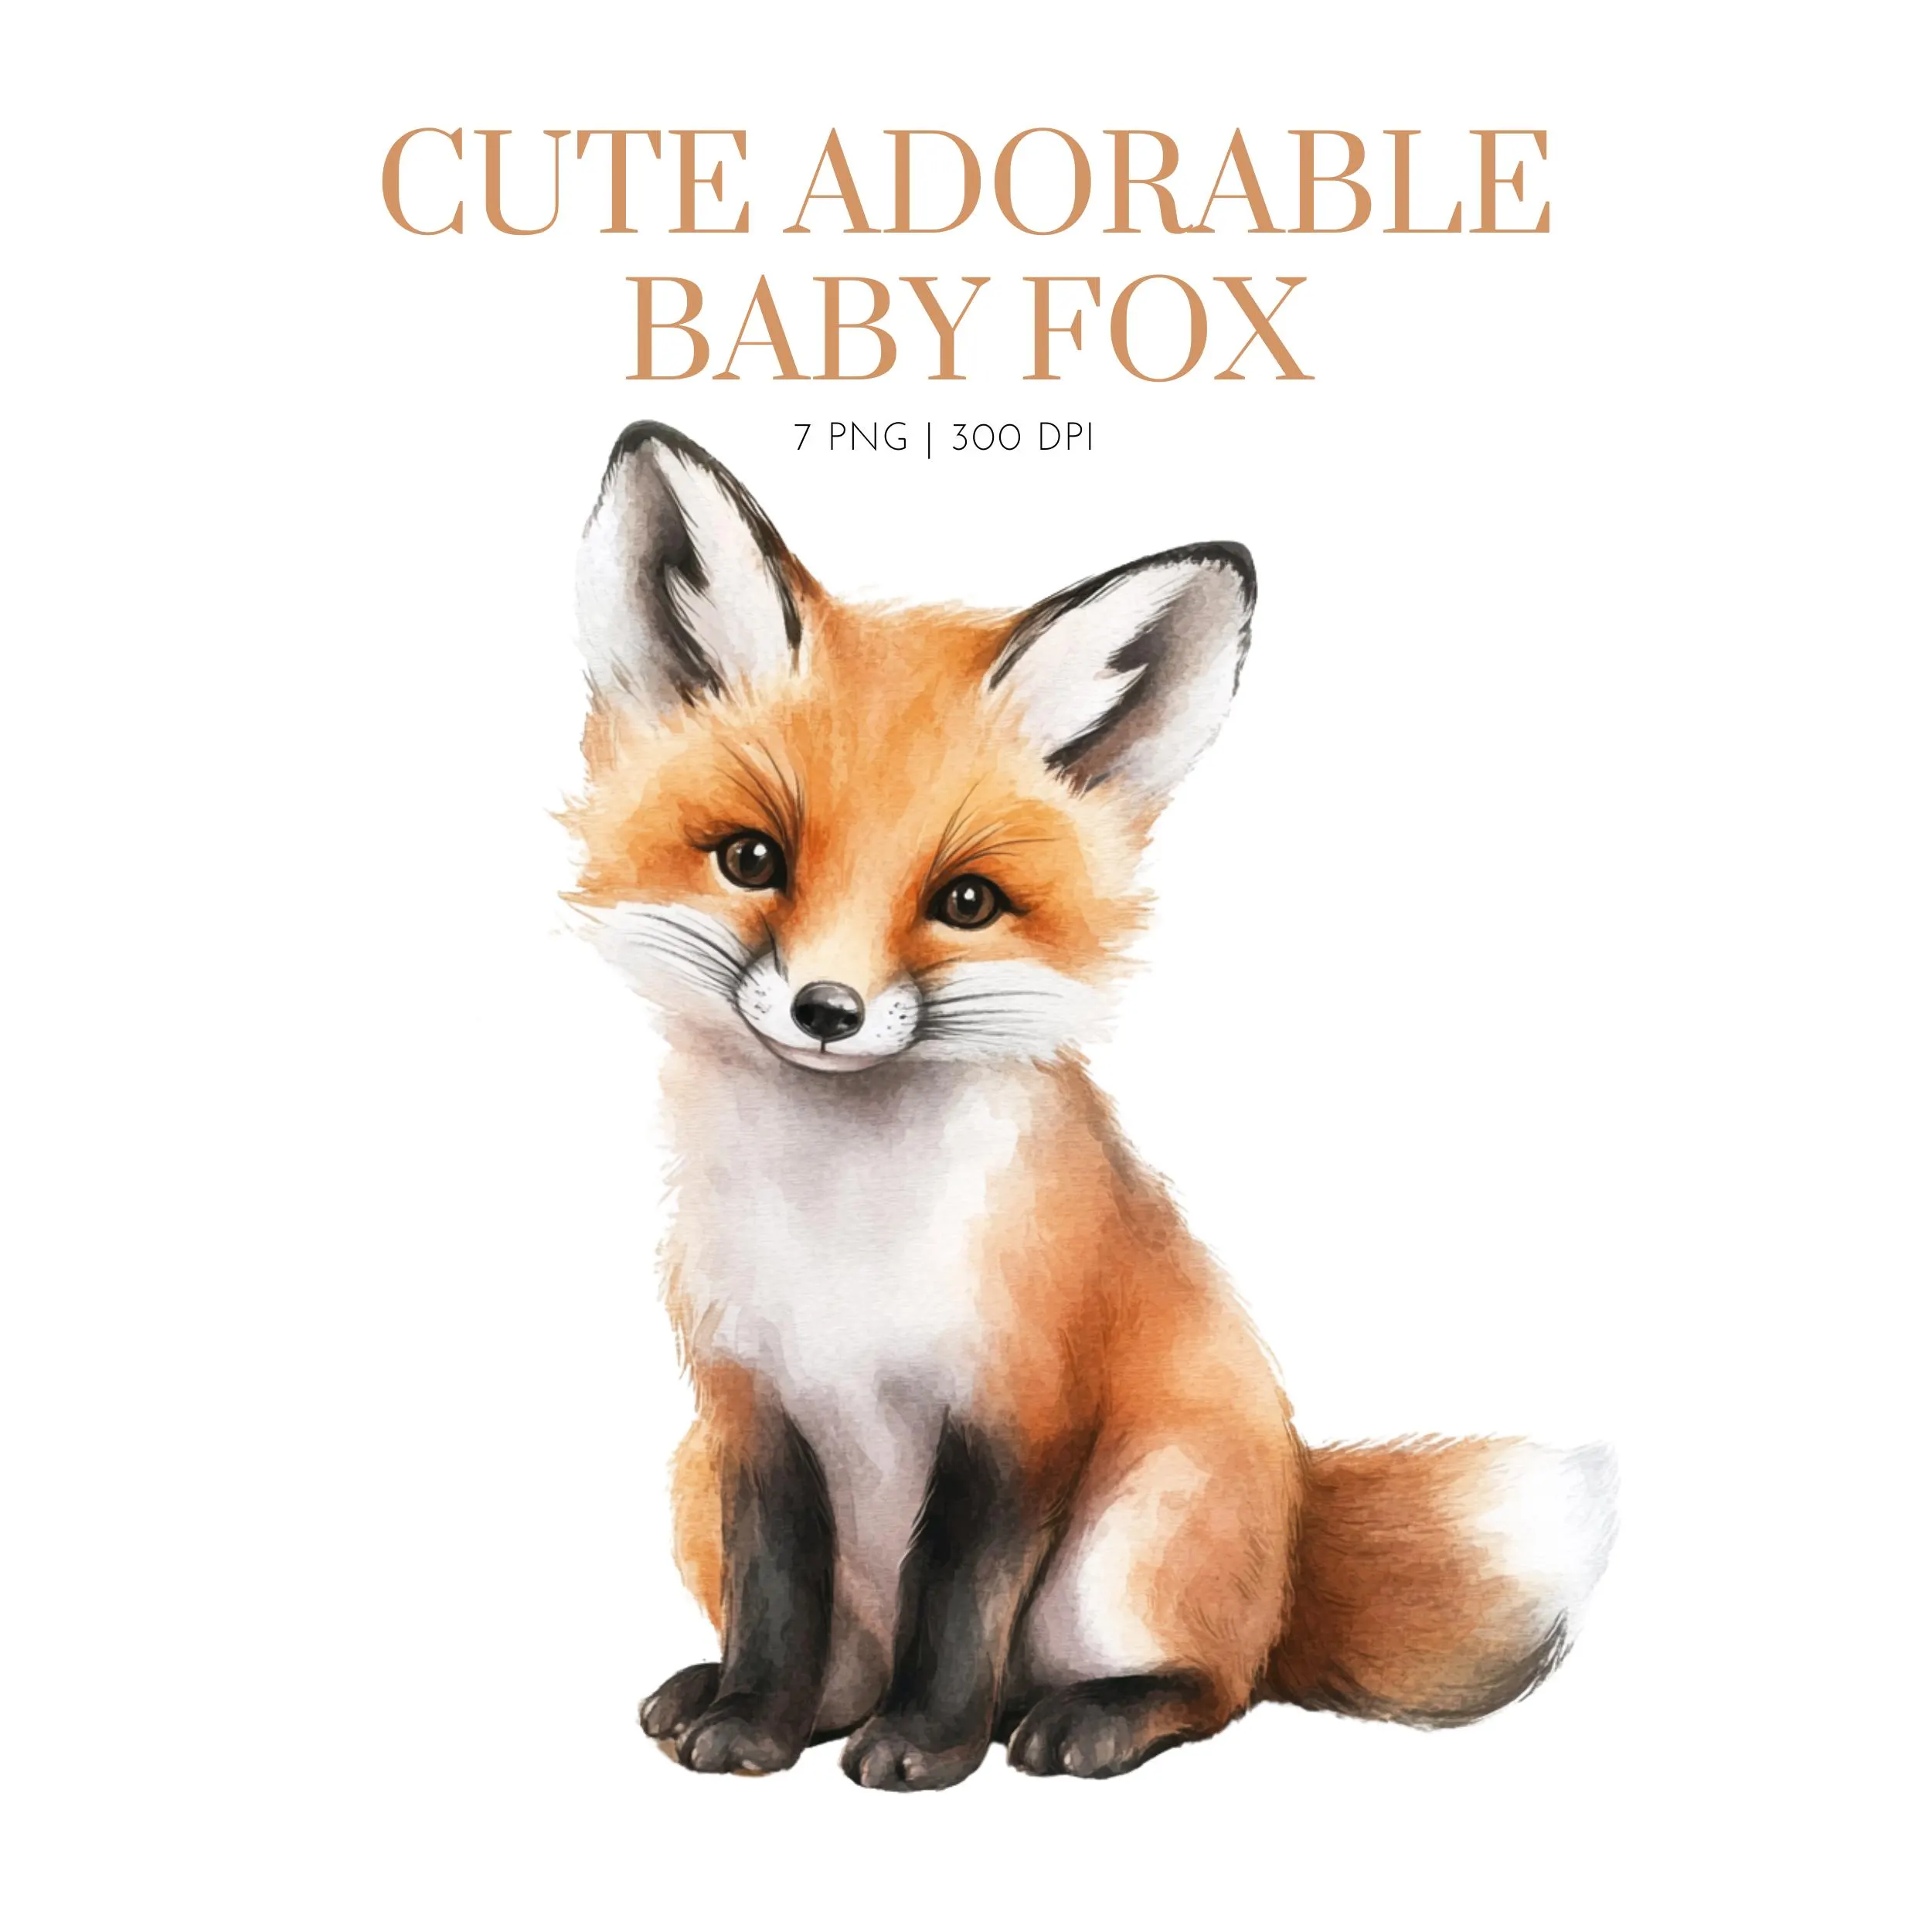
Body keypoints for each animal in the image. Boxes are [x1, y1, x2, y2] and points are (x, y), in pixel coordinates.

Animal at [565, 421, 1617, 1790]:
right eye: (752, 859)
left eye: (965, 901)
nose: (827, 1009)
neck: (844, 1249)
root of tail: (1292, 1533)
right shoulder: (751, 1410)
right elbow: (778, 1599)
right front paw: (751, 1721)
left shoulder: (1023, 1409)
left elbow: (959, 1604)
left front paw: (926, 1748)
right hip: (692, 1481)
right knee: (849, 1662)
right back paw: (743, 1695)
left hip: (1136, 1541)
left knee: (1211, 1687)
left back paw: (1087, 1720)